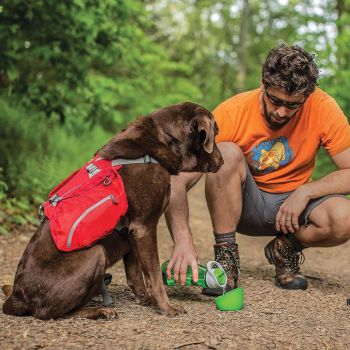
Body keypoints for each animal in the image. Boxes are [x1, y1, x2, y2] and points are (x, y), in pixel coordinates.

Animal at [1, 102, 223, 320]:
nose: (222, 161)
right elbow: (153, 276)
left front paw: (146, 301)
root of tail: (17, 297)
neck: (165, 140)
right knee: (53, 312)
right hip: (96, 254)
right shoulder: (144, 227)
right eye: (215, 133)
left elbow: (136, 275)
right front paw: (167, 307)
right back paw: (99, 310)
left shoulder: (132, 234)